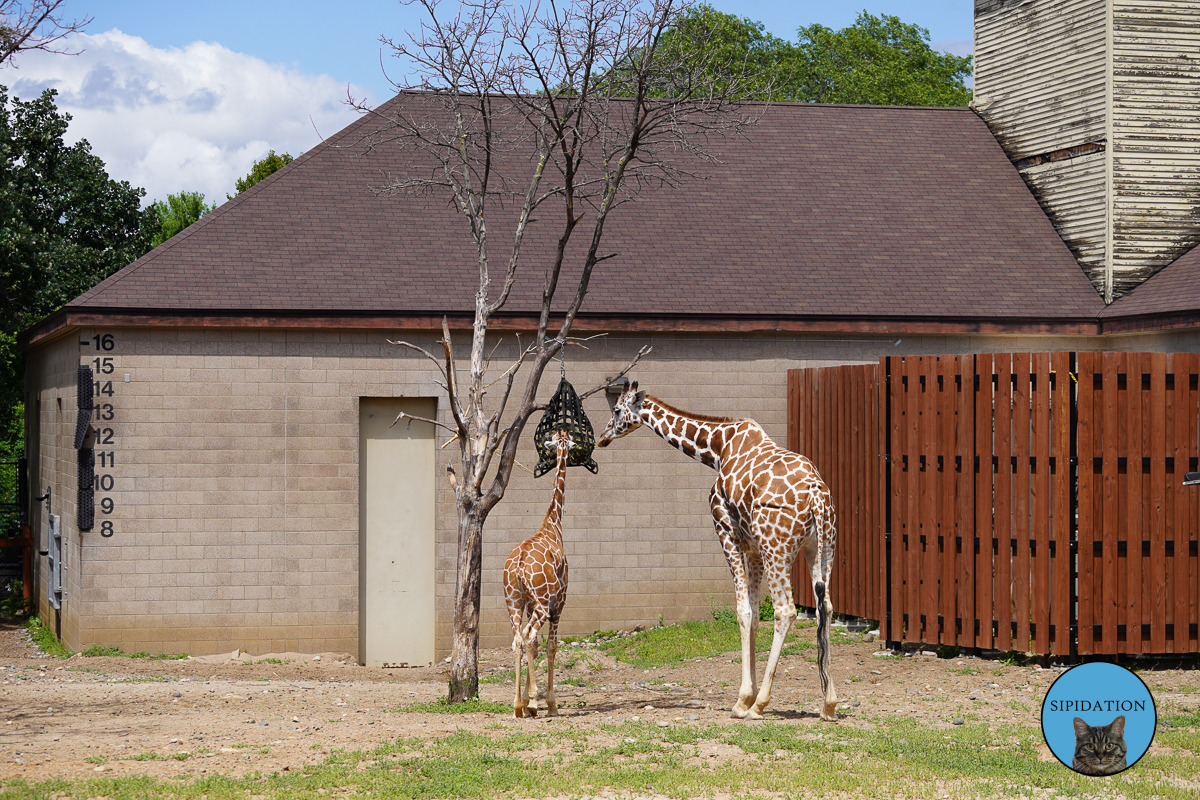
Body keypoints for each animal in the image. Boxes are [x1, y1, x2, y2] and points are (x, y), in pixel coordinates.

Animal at [597, 383, 840, 724]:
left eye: (617, 410)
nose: (602, 437)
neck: (717, 449)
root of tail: (817, 496)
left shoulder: (727, 533)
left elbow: (743, 611)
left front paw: (743, 700)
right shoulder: (752, 547)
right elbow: (754, 614)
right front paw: (748, 694)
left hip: (777, 549)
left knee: (786, 610)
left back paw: (761, 704)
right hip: (822, 549)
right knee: (826, 607)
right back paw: (829, 704)